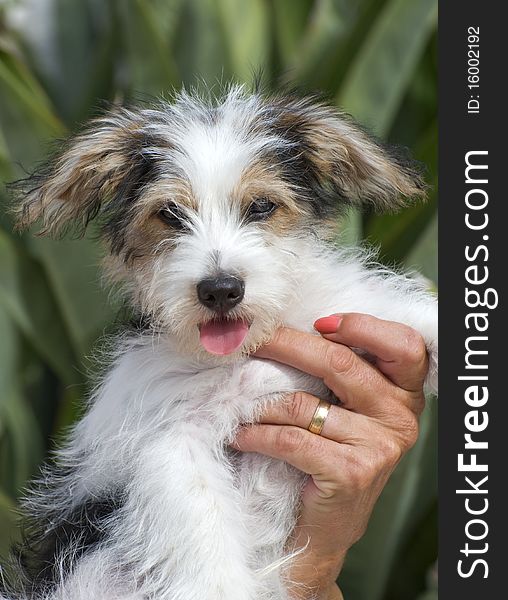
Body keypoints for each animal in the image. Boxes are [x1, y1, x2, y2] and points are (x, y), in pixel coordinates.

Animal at [0, 85, 436, 600]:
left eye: (262, 206)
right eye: (170, 214)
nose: (220, 289)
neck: (240, 358)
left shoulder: (344, 315)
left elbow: (406, 317)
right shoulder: (171, 445)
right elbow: (206, 541)